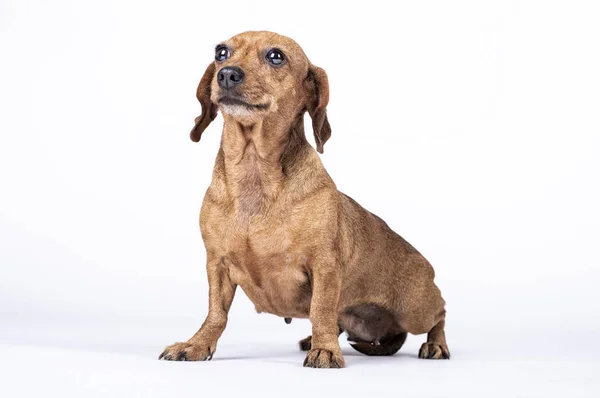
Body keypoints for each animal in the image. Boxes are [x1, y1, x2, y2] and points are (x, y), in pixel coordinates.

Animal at [159, 31, 450, 370]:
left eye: (276, 56)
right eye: (221, 52)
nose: (227, 74)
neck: (255, 174)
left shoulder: (324, 265)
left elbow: (320, 309)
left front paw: (325, 350)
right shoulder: (217, 264)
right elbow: (216, 313)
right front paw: (197, 344)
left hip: (415, 310)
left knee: (440, 314)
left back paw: (436, 344)